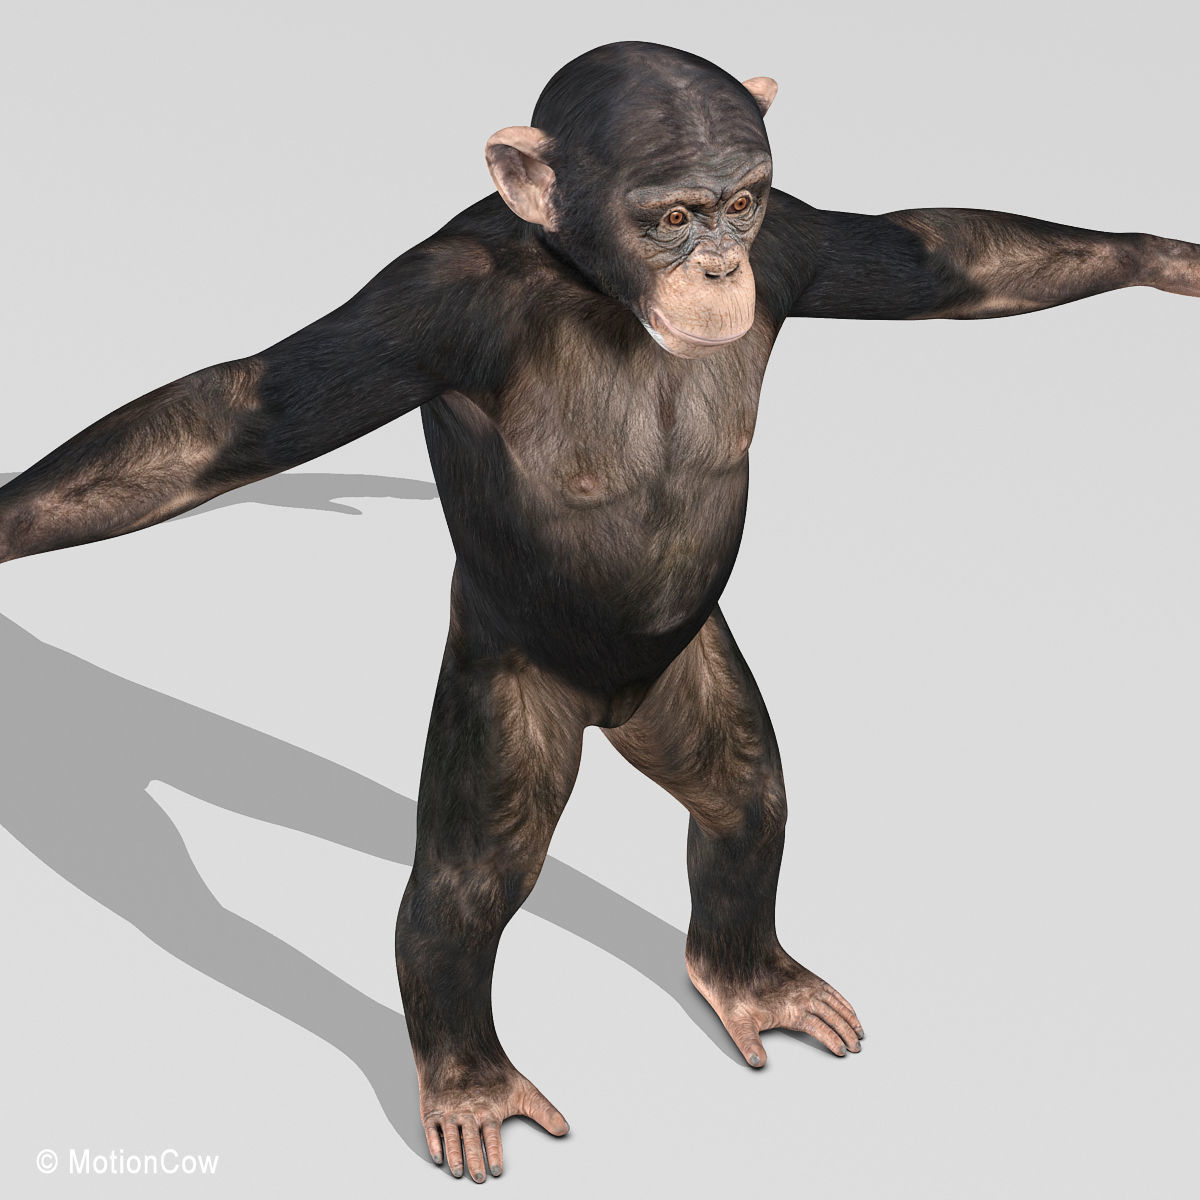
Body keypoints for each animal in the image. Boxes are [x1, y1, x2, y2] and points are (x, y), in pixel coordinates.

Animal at [1, 41, 1197, 1184]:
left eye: (741, 204)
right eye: (670, 217)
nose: (719, 264)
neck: (594, 286)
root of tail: (610, 710)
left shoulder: (800, 243)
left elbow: (942, 262)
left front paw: (1160, 255)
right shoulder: (424, 307)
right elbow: (234, 416)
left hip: (684, 678)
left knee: (743, 796)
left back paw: (747, 978)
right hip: (509, 686)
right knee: (471, 883)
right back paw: (470, 1079)